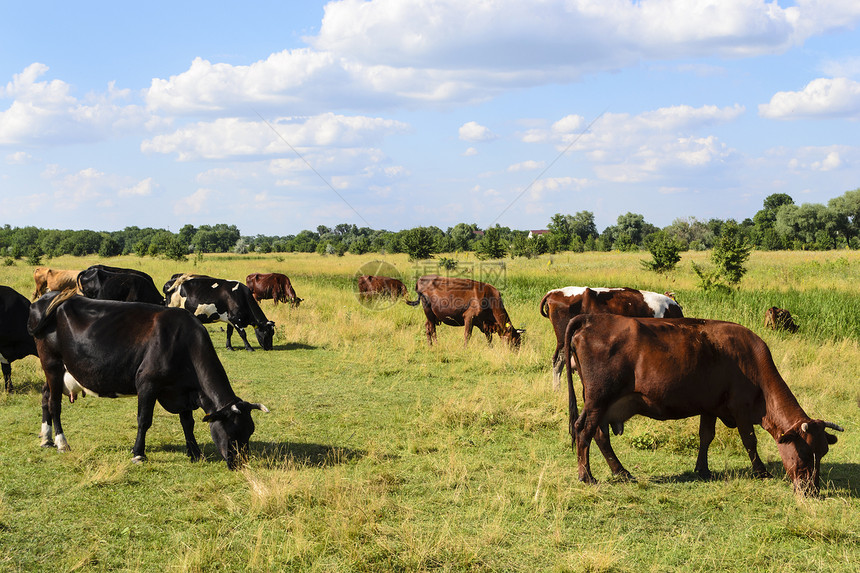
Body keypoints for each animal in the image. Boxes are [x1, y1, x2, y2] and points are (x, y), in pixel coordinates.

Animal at [27, 290, 268, 470]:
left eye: (250, 431)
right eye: (232, 432)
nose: (240, 464)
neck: (183, 342)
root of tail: (48, 298)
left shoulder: (183, 391)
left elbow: (187, 423)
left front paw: (195, 453)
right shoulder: (147, 383)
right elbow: (144, 419)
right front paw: (138, 453)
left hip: (55, 370)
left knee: (45, 396)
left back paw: (46, 439)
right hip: (52, 363)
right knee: (54, 404)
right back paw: (61, 442)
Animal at [560, 312, 844, 496]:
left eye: (822, 453)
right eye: (804, 453)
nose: (811, 491)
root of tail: (591, 318)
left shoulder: (710, 407)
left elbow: (706, 436)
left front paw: (702, 469)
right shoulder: (741, 409)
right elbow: (749, 441)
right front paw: (761, 471)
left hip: (602, 404)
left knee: (599, 435)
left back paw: (621, 472)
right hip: (598, 399)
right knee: (584, 430)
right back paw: (587, 476)